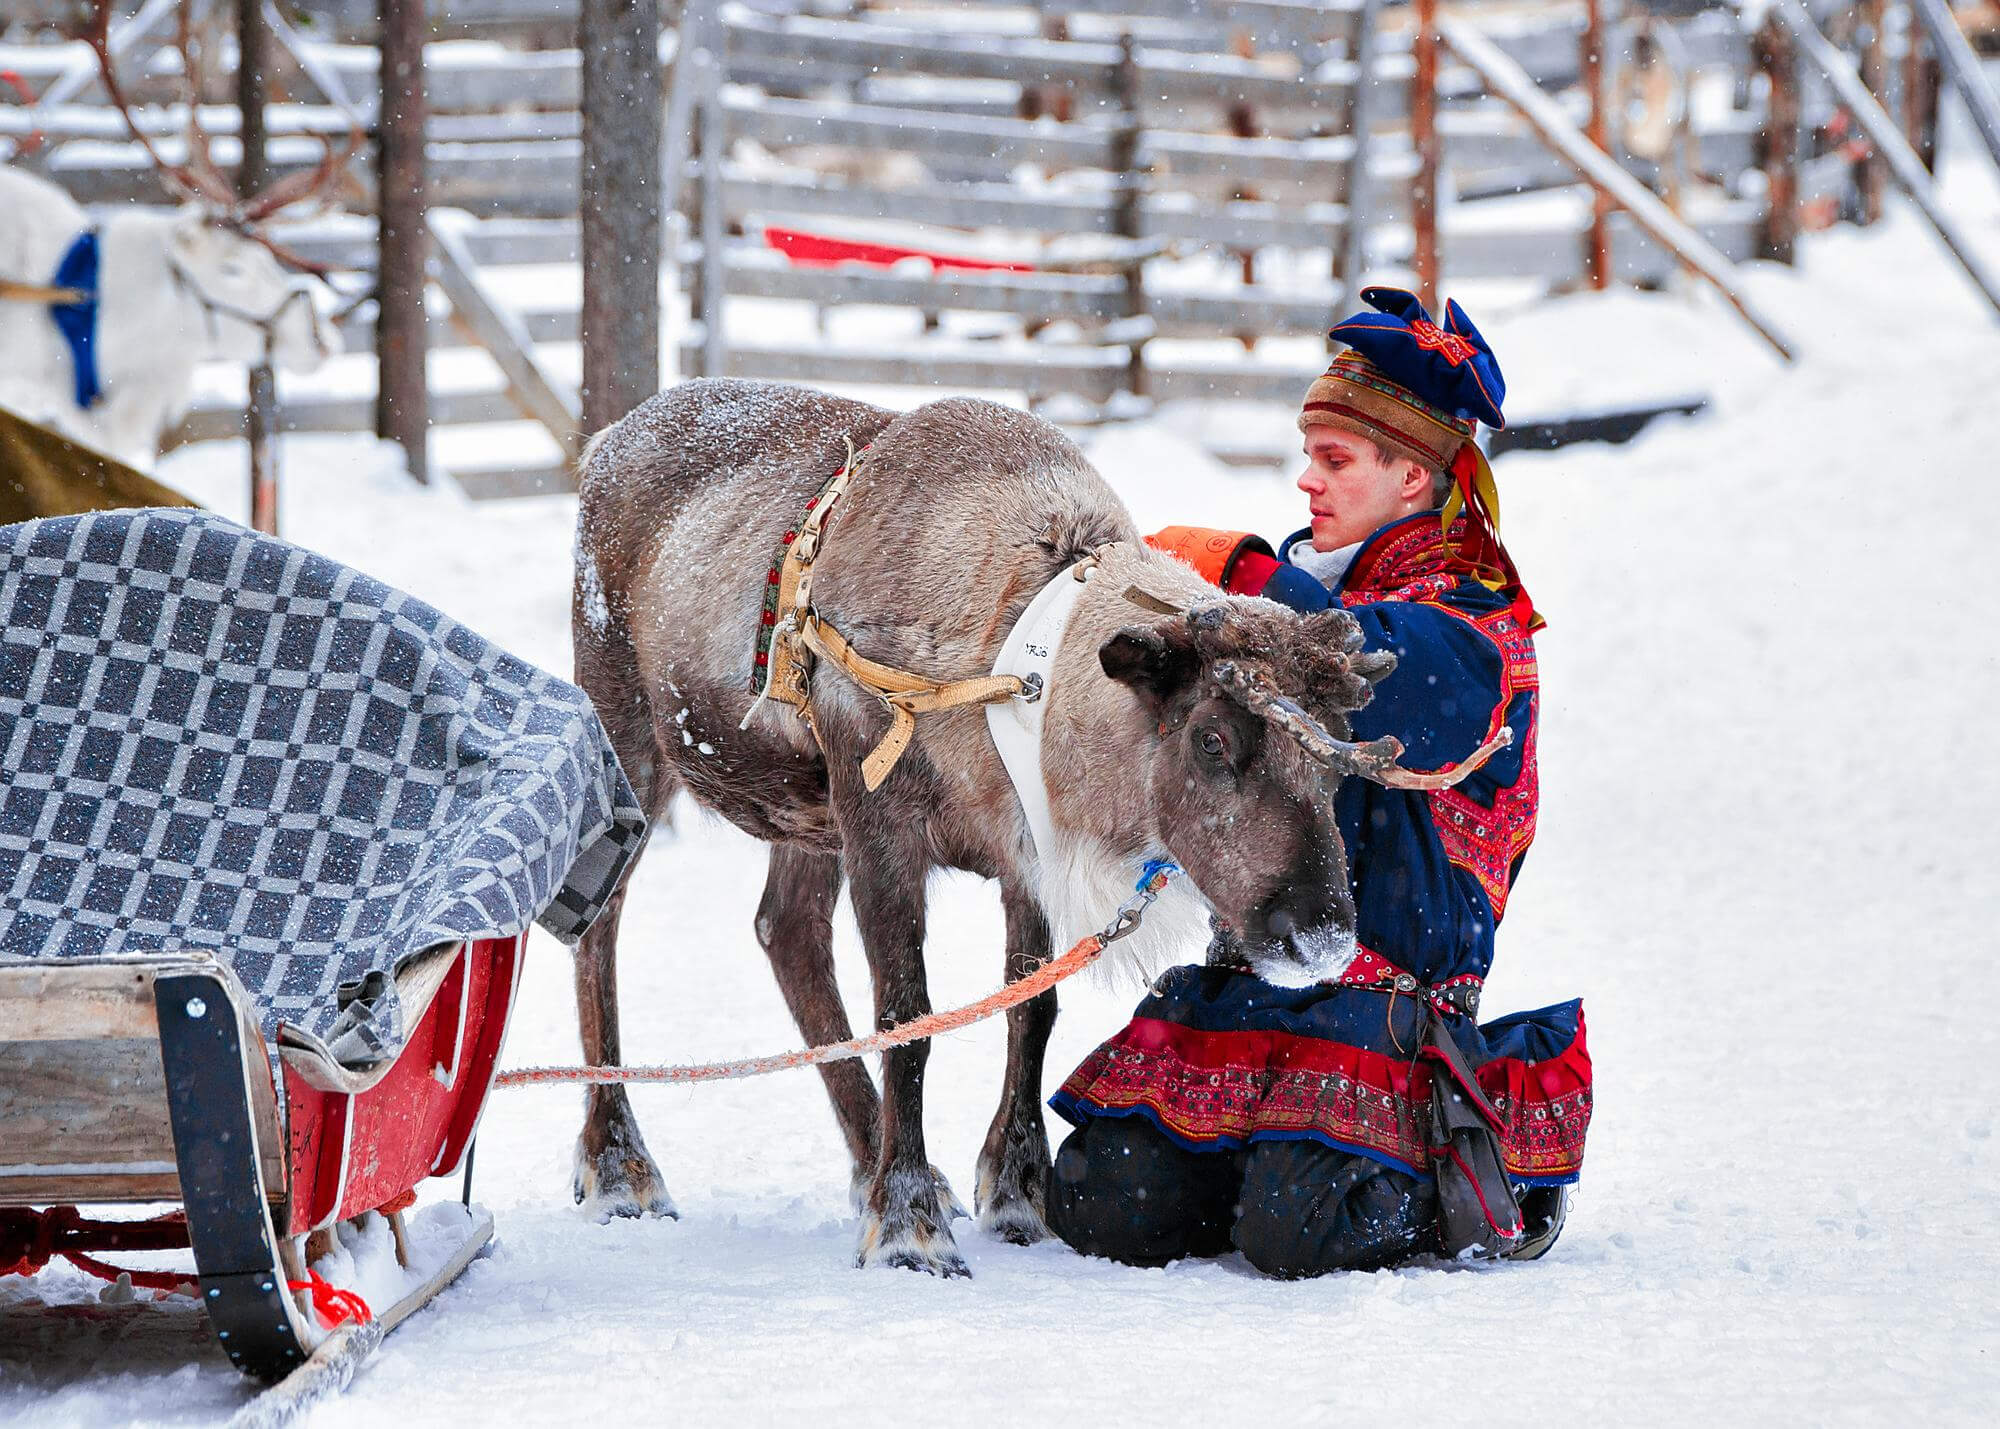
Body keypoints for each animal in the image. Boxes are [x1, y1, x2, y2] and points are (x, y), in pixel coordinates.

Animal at [567, 378, 1503, 1279]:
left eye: (1339, 759)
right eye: (1210, 739)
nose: (1320, 935)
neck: (1012, 670)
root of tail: (602, 445)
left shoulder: (1024, 857)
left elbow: (1033, 1009)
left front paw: (1015, 1192)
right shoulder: (881, 827)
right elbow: (910, 1017)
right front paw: (907, 1225)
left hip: (808, 818)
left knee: (785, 932)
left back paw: (868, 1160)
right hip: (628, 733)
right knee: (599, 924)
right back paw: (622, 1168)